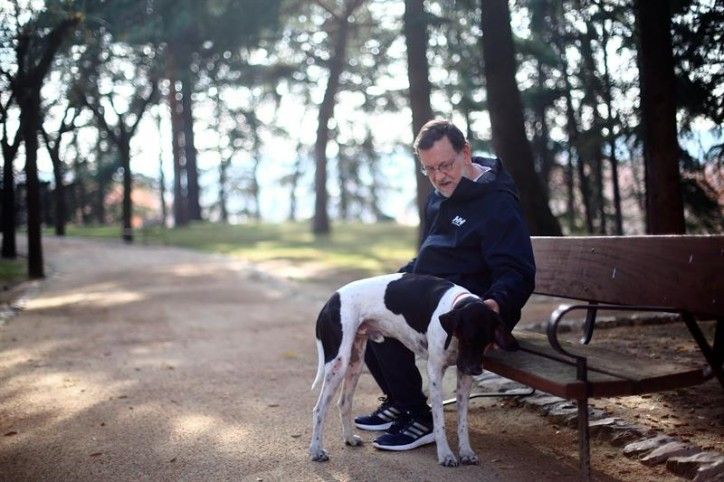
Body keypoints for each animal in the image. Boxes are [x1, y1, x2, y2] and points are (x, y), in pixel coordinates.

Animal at [308, 274, 516, 466]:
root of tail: (332, 299)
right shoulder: (435, 373)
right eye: (467, 339)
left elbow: (463, 422)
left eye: (488, 342)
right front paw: (445, 455)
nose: (476, 370)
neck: (455, 303)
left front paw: (466, 452)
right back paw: (316, 450)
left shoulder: (464, 377)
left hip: (355, 363)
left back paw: (349, 439)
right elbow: (439, 421)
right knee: (319, 409)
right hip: (339, 364)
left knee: (343, 403)